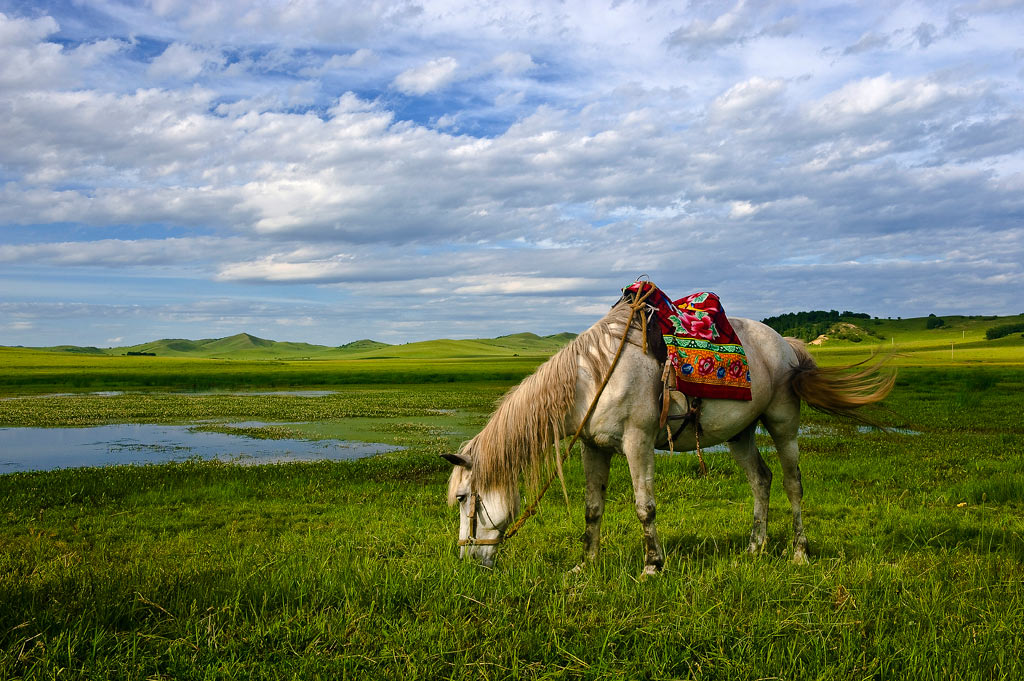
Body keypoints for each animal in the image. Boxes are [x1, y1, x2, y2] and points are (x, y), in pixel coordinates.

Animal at [444, 294, 892, 569]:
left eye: (464, 497)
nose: (466, 560)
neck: (592, 379)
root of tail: (787, 344)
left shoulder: (637, 443)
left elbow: (645, 507)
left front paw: (652, 566)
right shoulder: (594, 447)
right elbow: (593, 508)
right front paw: (585, 565)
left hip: (783, 424)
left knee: (792, 482)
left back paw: (799, 553)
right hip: (740, 432)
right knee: (760, 480)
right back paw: (754, 548)